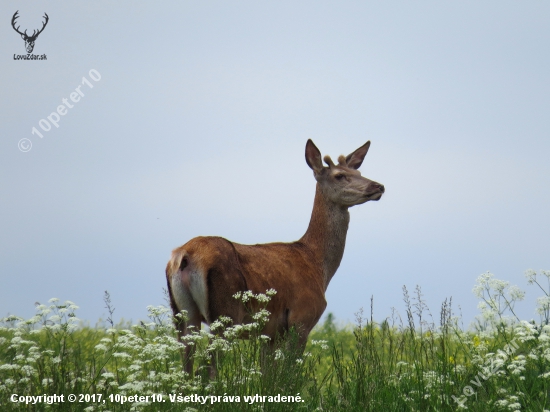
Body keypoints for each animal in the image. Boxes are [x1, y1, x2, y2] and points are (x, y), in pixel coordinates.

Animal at [166, 139, 386, 374]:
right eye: (339, 175)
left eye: (359, 171)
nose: (378, 186)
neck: (318, 264)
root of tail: (184, 256)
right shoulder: (302, 317)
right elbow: (290, 374)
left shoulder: (269, 334)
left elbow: (267, 375)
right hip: (225, 314)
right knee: (208, 369)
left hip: (183, 314)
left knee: (186, 367)